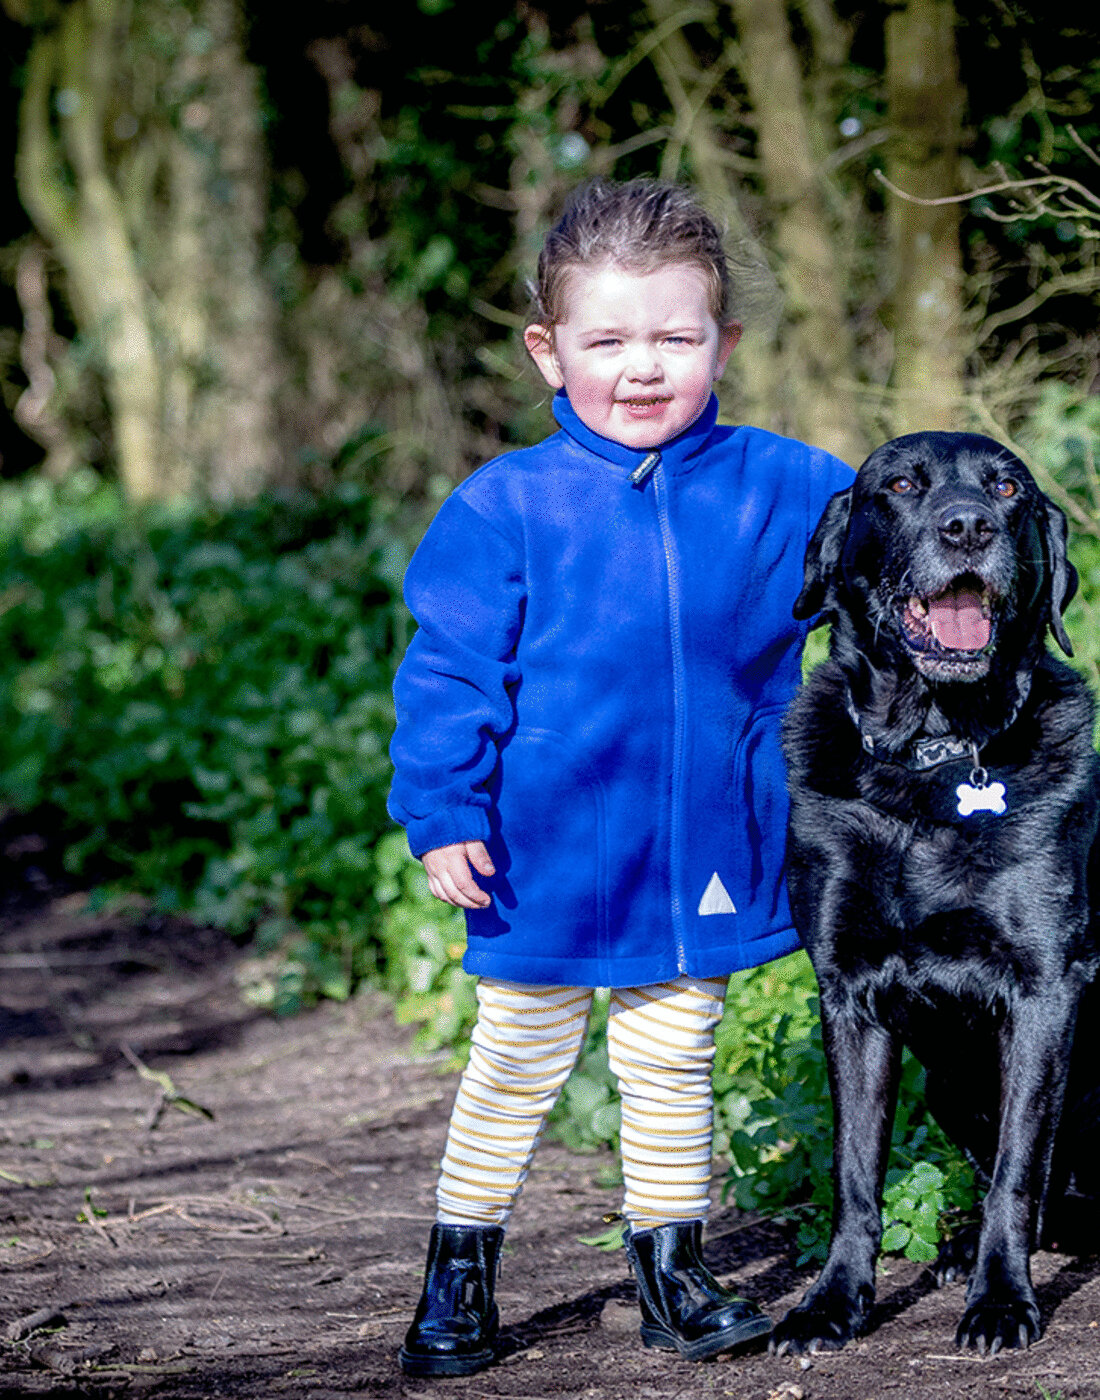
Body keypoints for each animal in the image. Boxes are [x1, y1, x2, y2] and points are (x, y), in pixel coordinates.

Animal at [770, 431, 1100, 1358]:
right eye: (902, 485)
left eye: (1008, 489)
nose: (967, 527)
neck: (935, 755)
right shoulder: (849, 992)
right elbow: (854, 1174)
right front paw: (831, 1303)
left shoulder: (1046, 988)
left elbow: (1020, 1168)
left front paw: (1001, 1302)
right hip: (948, 1085)